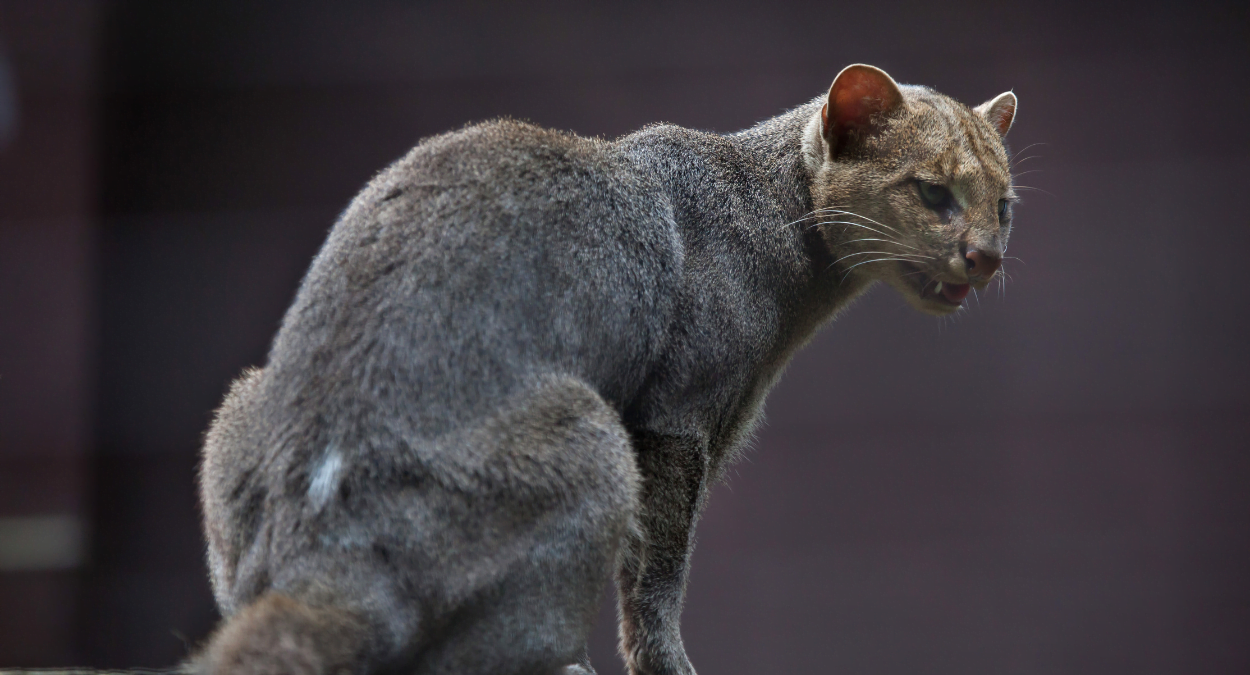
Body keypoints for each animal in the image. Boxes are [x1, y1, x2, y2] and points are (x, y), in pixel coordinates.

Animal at [192, 64, 1015, 675]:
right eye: (933, 191)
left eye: (1004, 204)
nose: (987, 255)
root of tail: (325, 538)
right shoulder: (679, 419)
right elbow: (658, 572)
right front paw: (666, 663)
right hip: (589, 434)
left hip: (239, 407)